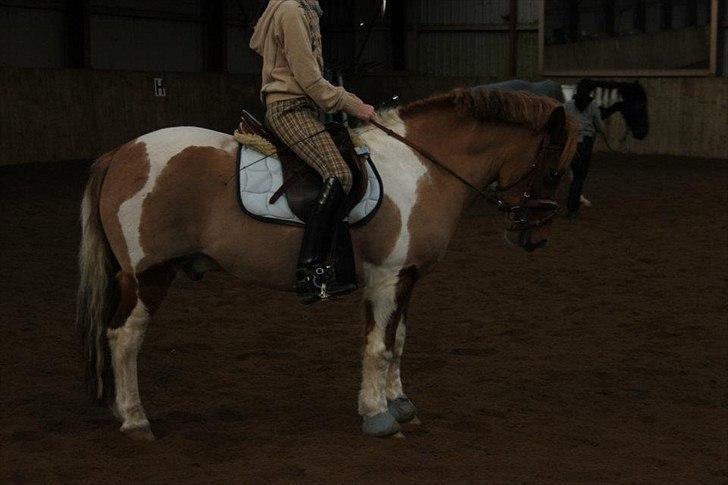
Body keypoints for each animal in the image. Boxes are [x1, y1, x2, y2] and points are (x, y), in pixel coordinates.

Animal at [76, 87, 577, 440]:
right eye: (554, 170)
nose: (534, 237)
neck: (420, 167)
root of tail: (120, 153)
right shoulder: (388, 278)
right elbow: (378, 346)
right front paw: (378, 417)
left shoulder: (405, 278)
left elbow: (398, 341)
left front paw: (400, 405)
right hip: (148, 276)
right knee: (124, 338)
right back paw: (136, 420)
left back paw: (121, 408)